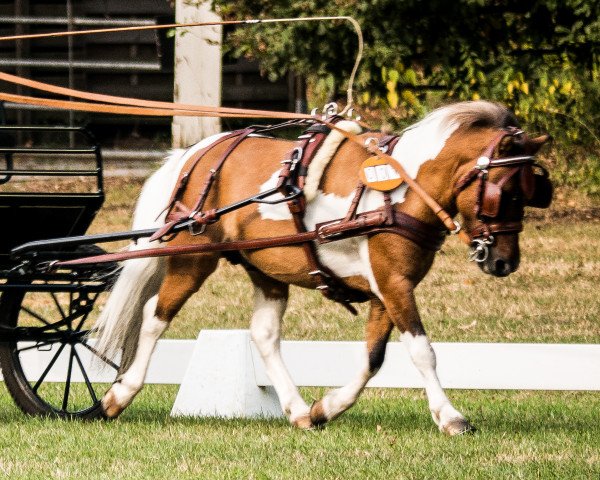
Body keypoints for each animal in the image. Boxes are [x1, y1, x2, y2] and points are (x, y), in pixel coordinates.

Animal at [95, 101, 552, 436]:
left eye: (534, 191)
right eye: (508, 193)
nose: (504, 262)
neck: (401, 191)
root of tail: (198, 152)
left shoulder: (386, 289)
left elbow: (373, 358)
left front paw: (325, 408)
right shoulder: (394, 283)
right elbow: (422, 352)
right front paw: (450, 416)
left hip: (264, 267)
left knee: (264, 335)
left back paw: (297, 408)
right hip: (194, 257)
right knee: (155, 316)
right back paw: (119, 395)